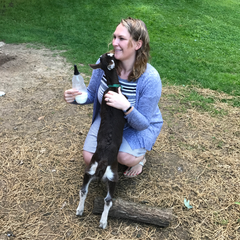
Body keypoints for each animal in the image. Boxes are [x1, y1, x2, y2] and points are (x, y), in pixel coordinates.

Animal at [76, 52, 125, 229]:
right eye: (110, 56)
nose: (113, 51)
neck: (113, 87)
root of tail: (103, 160)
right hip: (113, 176)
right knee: (109, 200)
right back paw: (103, 222)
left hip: (89, 169)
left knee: (83, 190)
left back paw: (79, 210)